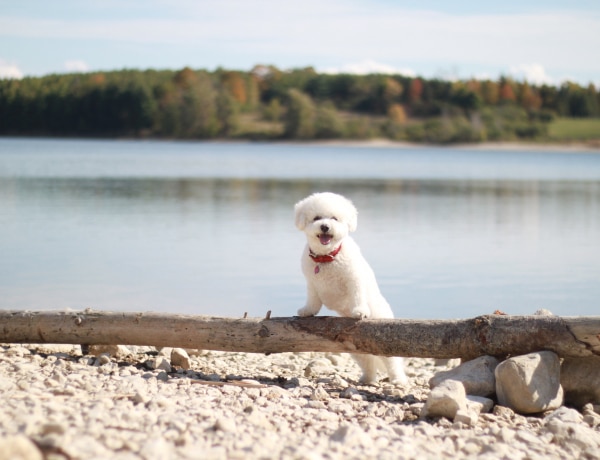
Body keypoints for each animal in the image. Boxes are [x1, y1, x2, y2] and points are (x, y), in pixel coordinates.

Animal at [294, 190, 408, 384]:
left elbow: (357, 296)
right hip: (354, 347)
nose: (325, 227)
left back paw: (398, 380)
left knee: (392, 362)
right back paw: (368, 379)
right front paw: (308, 310)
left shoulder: (354, 279)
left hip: (385, 340)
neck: (327, 258)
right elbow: (313, 299)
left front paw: (359, 311)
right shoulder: (312, 283)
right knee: (367, 361)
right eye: (316, 218)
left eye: (334, 218)